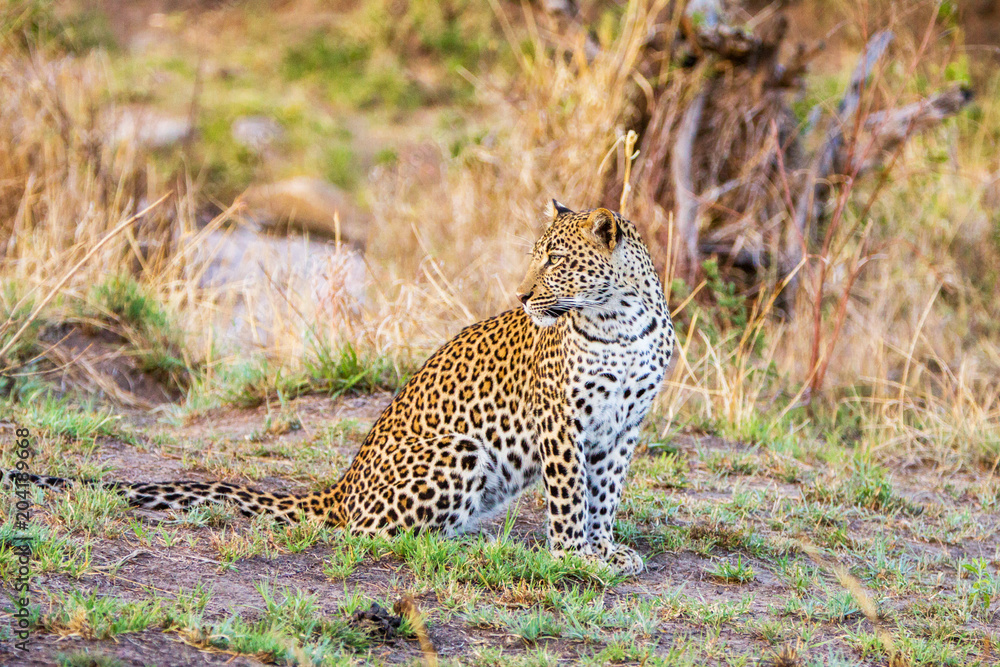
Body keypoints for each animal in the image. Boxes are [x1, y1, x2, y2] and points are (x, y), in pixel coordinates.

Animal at [5, 202, 675, 574]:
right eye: (538, 257)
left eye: (557, 261)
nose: (524, 294)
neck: (620, 323)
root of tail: (342, 486)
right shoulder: (561, 423)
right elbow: (570, 500)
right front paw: (574, 557)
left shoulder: (623, 429)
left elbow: (604, 496)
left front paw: (606, 550)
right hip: (460, 452)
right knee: (378, 536)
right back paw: (472, 550)